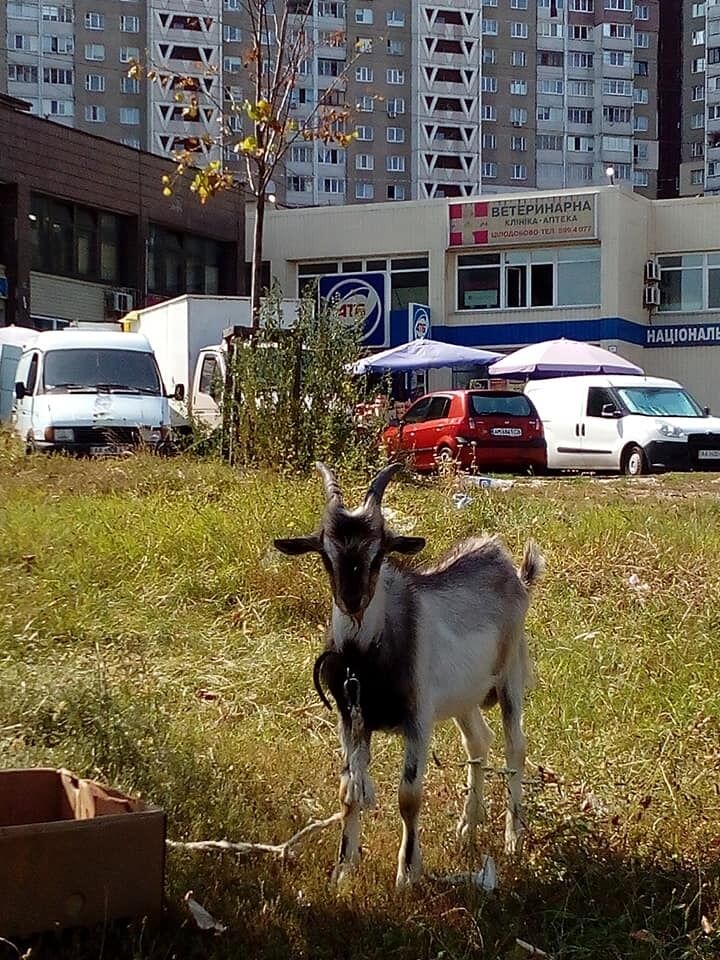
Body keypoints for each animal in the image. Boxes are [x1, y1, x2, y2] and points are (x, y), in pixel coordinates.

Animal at [272, 462, 544, 888]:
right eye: (326, 555)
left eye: (379, 553)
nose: (352, 600)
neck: (364, 659)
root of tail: (511, 568)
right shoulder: (350, 718)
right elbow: (348, 791)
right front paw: (343, 870)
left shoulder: (418, 719)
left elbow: (409, 795)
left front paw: (406, 874)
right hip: (463, 696)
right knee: (478, 741)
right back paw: (468, 827)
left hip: (509, 677)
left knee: (515, 746)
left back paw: (512, 837)